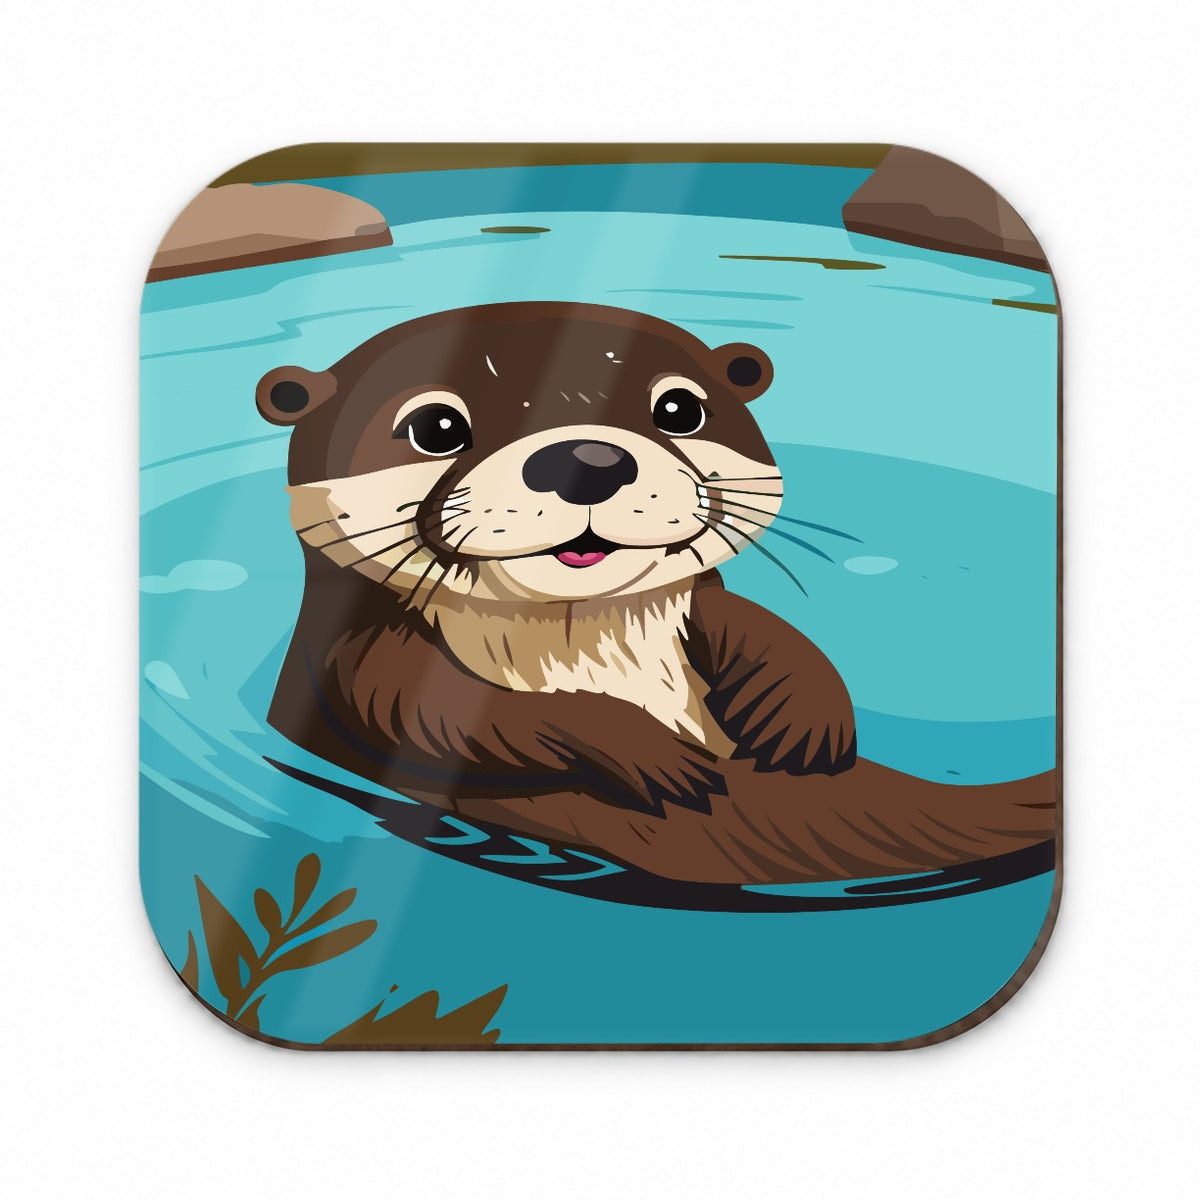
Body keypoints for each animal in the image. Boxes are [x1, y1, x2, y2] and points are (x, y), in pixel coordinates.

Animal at [256, 302, 1056, 887]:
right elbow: (434, 714)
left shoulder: (702, 606)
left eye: (679, 409)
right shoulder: (353, 660)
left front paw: (804, 716)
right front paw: (647, 754)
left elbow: (763, 630)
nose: (585, 457)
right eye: (436, 426)